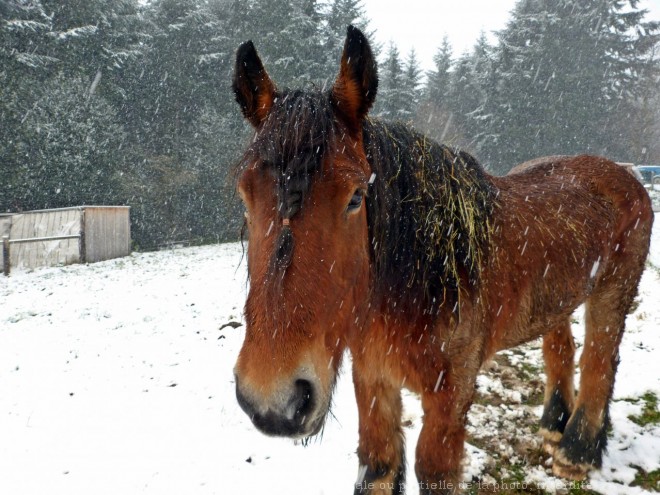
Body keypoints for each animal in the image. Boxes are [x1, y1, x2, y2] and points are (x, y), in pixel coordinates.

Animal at [229, 27, 652, 495]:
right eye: (245, 195)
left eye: (356, 197)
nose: (274, 400)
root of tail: (626, 173)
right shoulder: (371, 378)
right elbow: (378, 465)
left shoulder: (450, 398)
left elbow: (432, 469)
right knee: (562, 346)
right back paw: (554, 424)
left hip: (614, 289)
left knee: (600, 358)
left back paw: (577, 451)